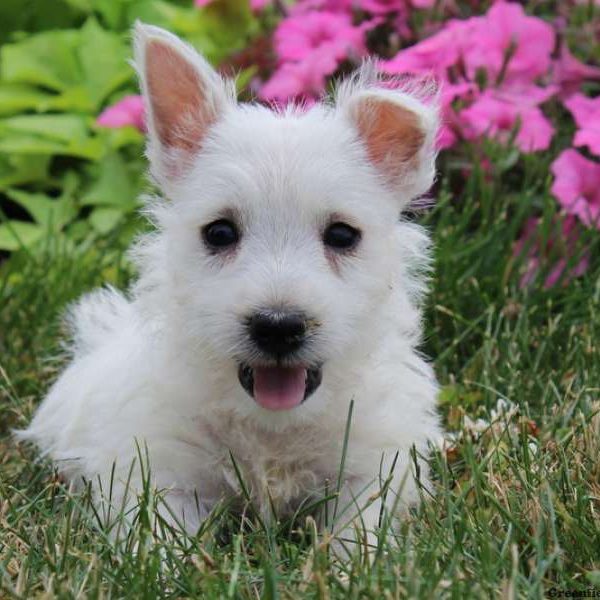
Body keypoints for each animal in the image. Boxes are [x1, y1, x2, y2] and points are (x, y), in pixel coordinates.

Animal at [18, 23, 440, 548]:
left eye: (342, 235)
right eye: (219, 232)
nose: (278, 326)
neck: (271, 426)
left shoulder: (374, 461)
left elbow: (359, 530)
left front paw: (351, 563)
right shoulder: (158, 468)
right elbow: (161, 538)